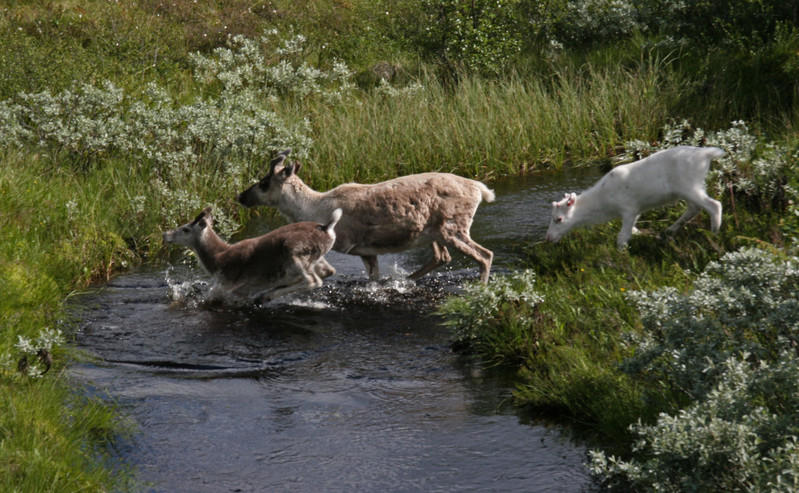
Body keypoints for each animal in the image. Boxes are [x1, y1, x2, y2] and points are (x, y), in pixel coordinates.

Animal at [164, 206, 342, 302]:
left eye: (185, 229)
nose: (165, 234)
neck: (217, 260)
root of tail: (328, 229)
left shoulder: (226, 286)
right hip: (316, 257)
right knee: (328, 271)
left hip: (294, 251)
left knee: (313, 280)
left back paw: (265, 296)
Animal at [552, 145, 724, 246]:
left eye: (558, 219)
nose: (548, 237)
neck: (603, 205)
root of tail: (707, 154)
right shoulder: (637, 211)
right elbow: (634, 230)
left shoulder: (629, 209)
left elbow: (622, 237)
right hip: (689, 189)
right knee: (694, 208)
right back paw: (669, 230)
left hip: (689, 186)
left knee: (714, 205)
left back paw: (713, 235)